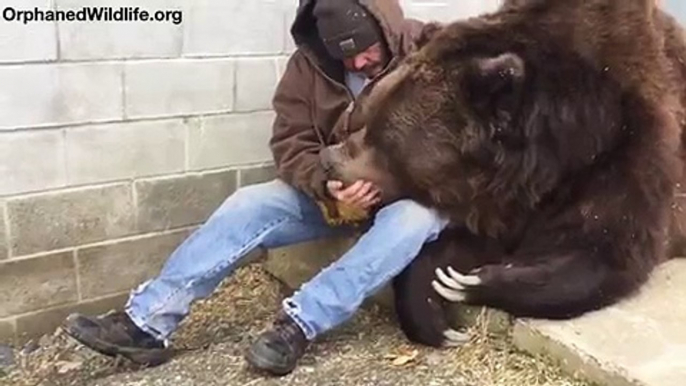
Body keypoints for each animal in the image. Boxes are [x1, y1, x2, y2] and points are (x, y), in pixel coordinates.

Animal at [320, 0, 686, 348]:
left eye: (382, 138)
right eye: (366, 116)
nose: (328, 159)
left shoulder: (630, 151)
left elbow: (604, 253)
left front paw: (470, 282)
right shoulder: (500, 198)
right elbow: (462, 244)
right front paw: (436, 312)